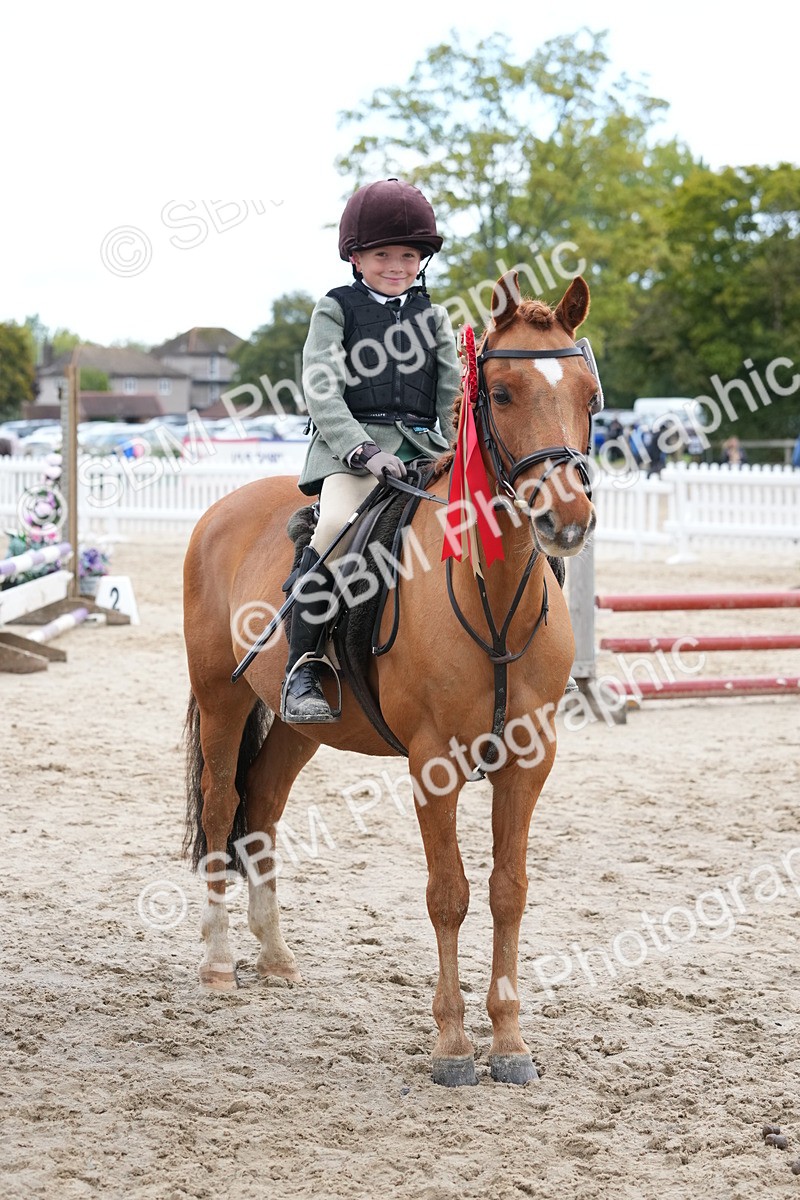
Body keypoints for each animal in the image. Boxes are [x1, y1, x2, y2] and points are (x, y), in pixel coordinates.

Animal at [182, 271, 599, 1087]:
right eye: (502, 393)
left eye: (590, 394)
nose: (567, 520)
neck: (489, 592)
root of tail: (224, 509)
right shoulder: (433, 762)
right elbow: (449, 895)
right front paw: (453, 1046)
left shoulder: (528, 760)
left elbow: (508, 892)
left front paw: (510, 1042)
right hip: (221, 700)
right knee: (221, 809)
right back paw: (217, 963)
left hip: (295, 726)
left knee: (264, 809)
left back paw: (274, 958)